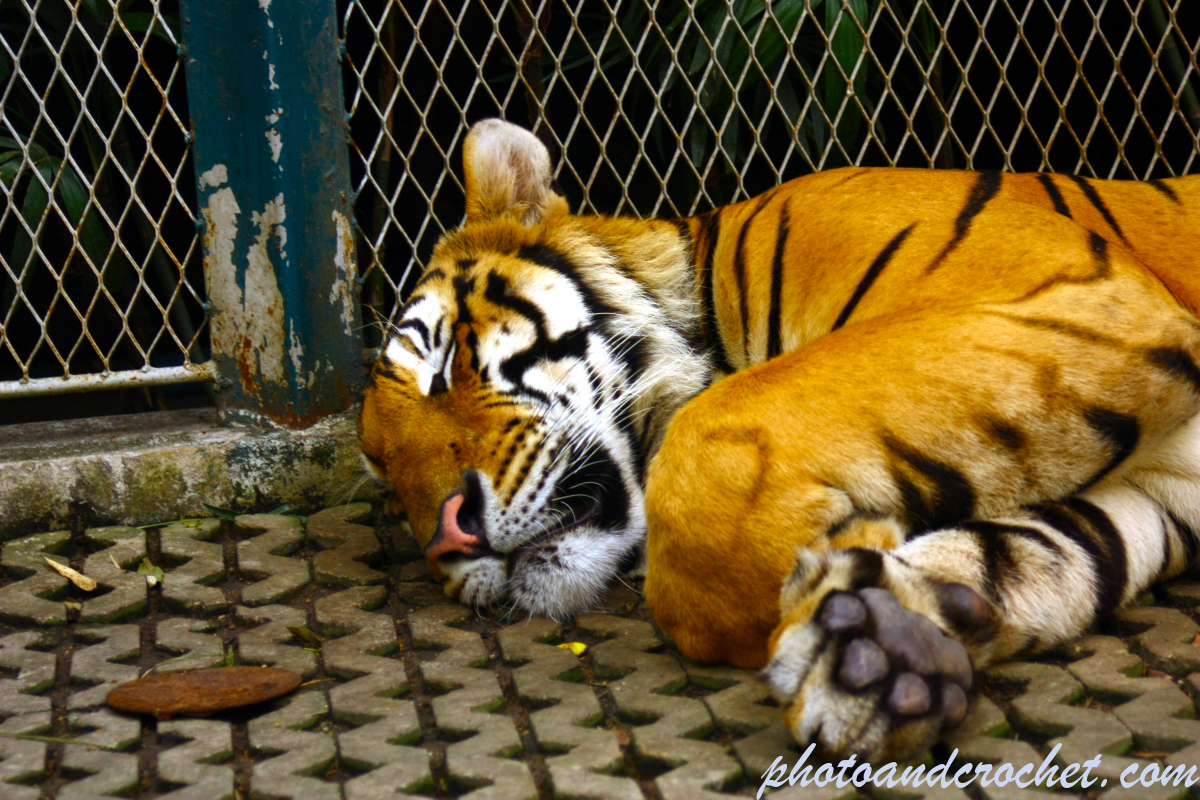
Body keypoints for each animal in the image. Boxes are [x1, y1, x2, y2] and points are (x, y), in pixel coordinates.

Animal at [359, 117, 1200, 760]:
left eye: (441, 366)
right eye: (387, 475)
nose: (448, 539)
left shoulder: (1062, 294)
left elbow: (706, 459)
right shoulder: (1155, 490)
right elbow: (1038, 551)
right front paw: (885, 648)